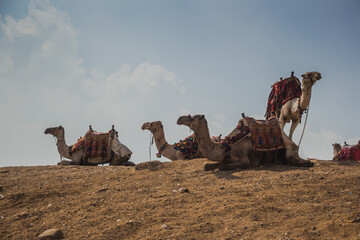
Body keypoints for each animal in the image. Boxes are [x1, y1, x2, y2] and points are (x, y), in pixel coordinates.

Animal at [177, 114, 316, 171]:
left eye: (192, 118)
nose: (179, 119)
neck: (225, 146)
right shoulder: (225, 158)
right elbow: (208, 166)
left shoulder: (244, 160)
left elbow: (222, 167)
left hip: (290, 153)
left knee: (304, 162)